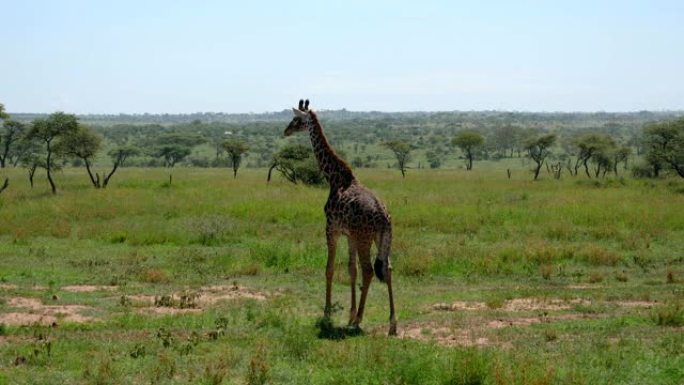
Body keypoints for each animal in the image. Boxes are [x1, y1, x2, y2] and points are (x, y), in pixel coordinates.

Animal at [284, 99, 400, 336]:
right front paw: (349, 315)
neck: (335, 177)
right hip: (381, 238)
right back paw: (392, 324)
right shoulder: (349, 235)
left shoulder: (331, 229)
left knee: (369, 271)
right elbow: (350, 270)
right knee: (387, 269)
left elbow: (329, 269)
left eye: (297, 119)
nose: (285, 131)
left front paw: (328, 314)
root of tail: (384, 217)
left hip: (365, 238)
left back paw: (360, 321)